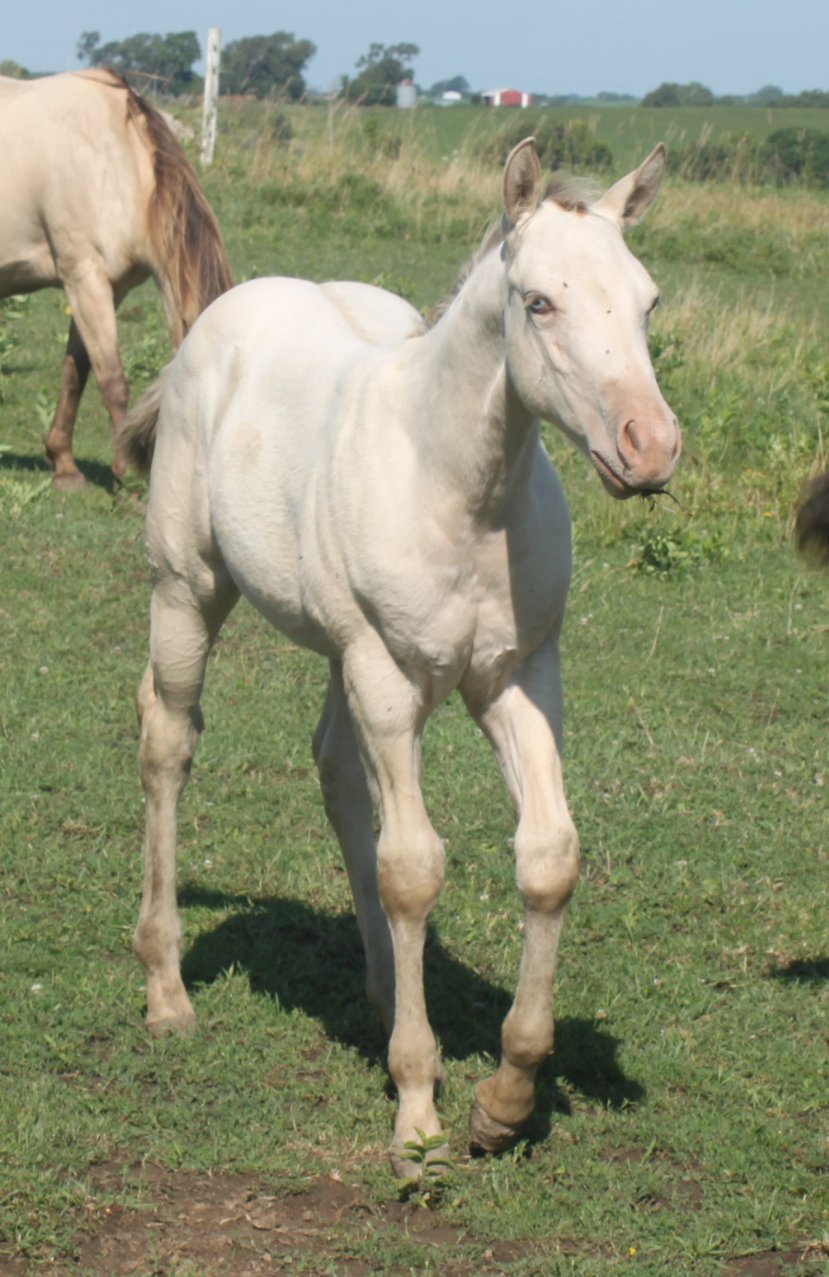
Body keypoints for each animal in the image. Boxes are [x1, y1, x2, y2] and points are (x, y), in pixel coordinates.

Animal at [0, 69, 229, 487]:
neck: (118, 160)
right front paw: (127, 479)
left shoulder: (107, 287)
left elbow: (76, 372)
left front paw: (64, 465)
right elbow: (112, 381)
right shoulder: (84, 277)